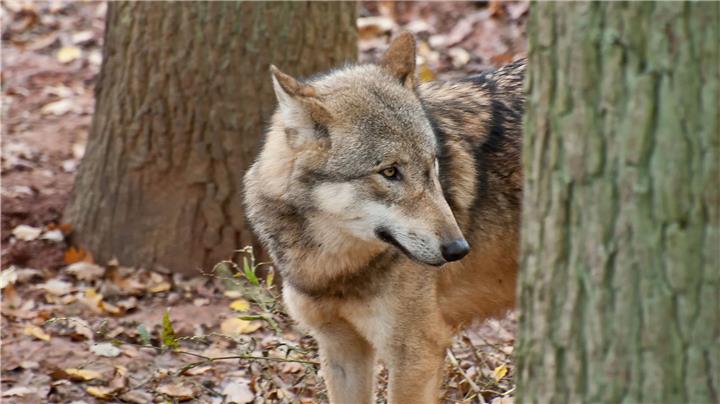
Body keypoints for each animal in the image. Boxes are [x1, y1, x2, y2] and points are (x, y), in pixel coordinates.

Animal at [243, 32, 524, 403]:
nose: (458, 249)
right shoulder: (340, 350)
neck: (335, 269)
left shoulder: (416, 355)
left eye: (433, 164)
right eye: (390, 172)